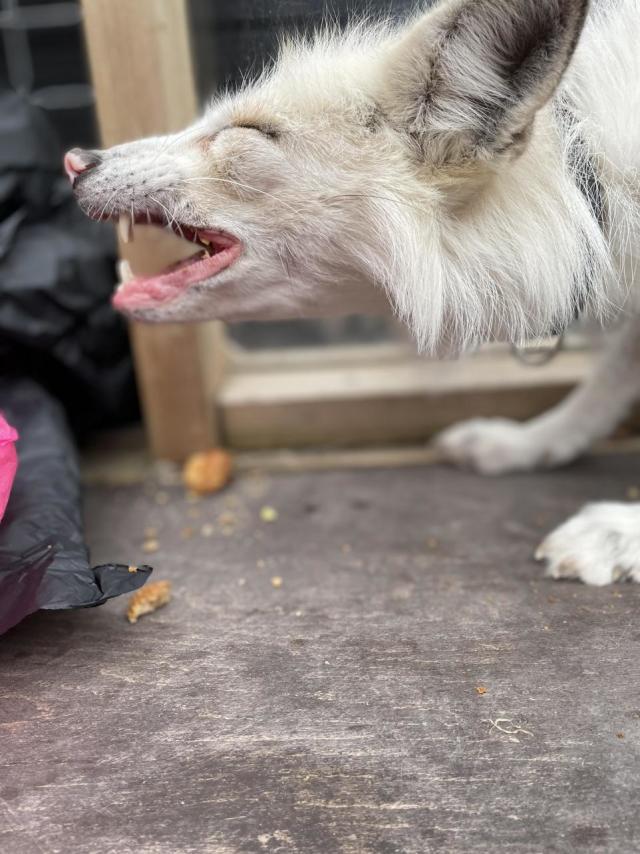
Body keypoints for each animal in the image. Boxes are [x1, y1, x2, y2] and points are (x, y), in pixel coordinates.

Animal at [63, 0, 640, 584]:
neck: (589, 187)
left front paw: (622, 533)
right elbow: (602, 385)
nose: (74, 161)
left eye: (249, 129)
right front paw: (529, 444)